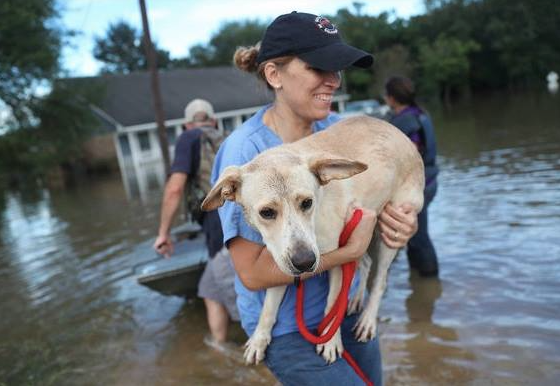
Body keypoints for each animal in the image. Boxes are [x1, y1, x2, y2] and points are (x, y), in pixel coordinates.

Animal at [201, 115, 424, 364]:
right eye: (266, 212)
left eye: (307, 202)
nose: (304, 262)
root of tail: (399, 133)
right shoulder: (281, 261)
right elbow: (268, 307)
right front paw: (259, 338)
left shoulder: (337, 260)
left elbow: (332, 305)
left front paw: (330, 341)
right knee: (364, 264)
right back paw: (355, 299)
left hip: (390, 232)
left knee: (380, 280)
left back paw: (367, 319)